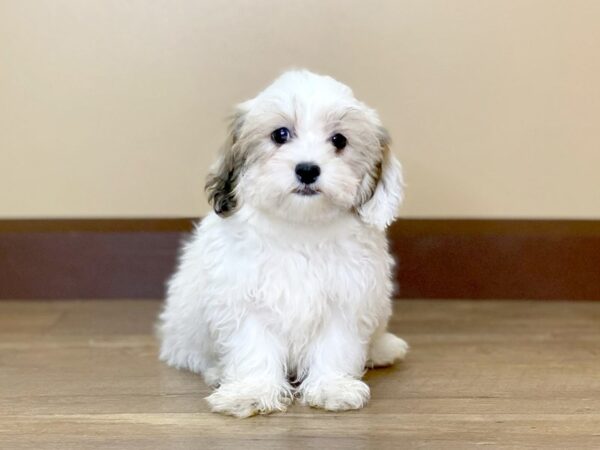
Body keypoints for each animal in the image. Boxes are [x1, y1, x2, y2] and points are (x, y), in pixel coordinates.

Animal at [158, 70, 408, 418]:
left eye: (339, 140)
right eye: (280, 134)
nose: (307, 169)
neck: (299, 227)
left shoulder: (345, 296)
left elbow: (336, 344)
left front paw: (332, 387)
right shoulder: (245, 297)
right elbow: (253, 346)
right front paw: (251, 392)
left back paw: (382, 348)